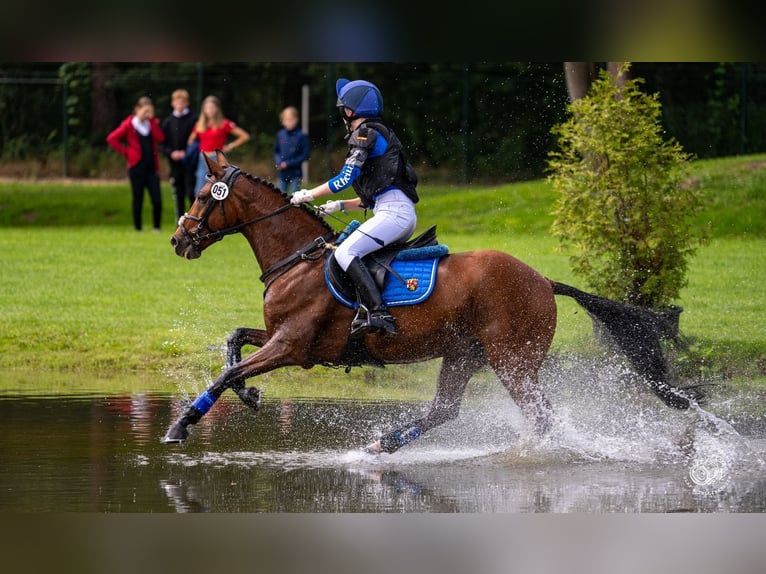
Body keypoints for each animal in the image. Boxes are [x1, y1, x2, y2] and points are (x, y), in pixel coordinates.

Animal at [162, 152, 704, 454]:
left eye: (203, 196)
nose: (177, 240)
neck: (296, 258)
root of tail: (543, 280)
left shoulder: (293, 346)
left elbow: (227, 371)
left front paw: (181, 425)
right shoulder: (284, 339)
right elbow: (234, 344)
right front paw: (249, 396)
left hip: (512, 360)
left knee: (540, 416)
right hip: (464, 354)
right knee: (445, 410)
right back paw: (382, 445)